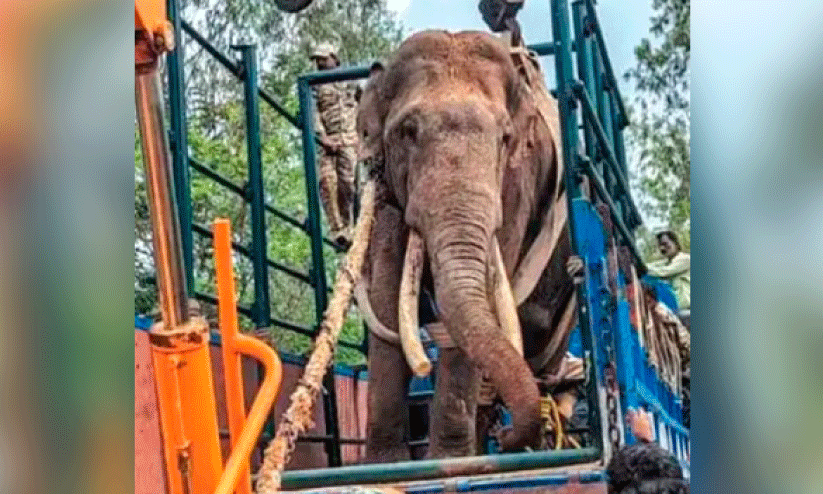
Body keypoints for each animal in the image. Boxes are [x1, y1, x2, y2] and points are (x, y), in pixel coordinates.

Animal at [353, 29, 577, 462]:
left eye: (505, 138)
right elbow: (386, 295)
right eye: (407, 131)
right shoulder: (388, 188)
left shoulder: (517, 184)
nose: (508, 438)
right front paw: (385, 464)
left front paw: (448, 462)